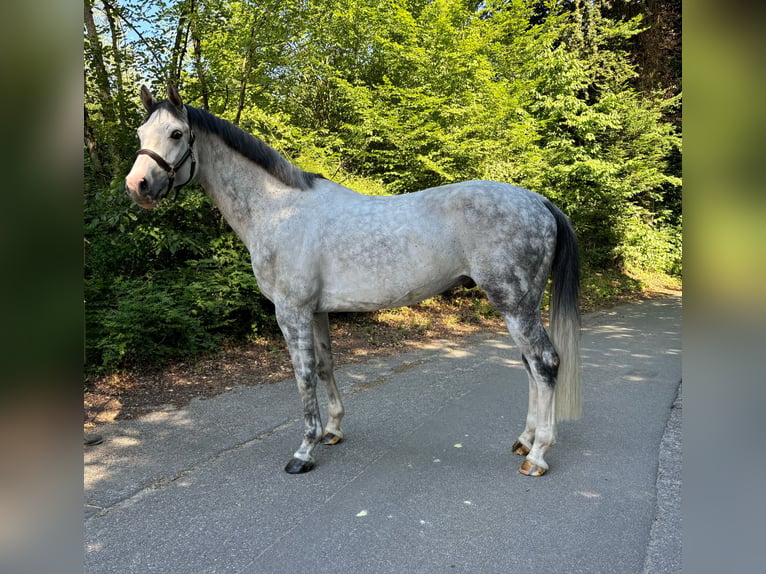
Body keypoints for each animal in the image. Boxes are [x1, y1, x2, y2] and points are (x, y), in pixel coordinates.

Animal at [125, 84, 581, 477]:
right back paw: (524, 441)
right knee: (529, 366)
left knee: (544, 363)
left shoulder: (291, 311)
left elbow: (303, 374)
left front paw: (304, 450)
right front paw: (332, 431)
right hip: (519, 305)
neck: (278, 210)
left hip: (514, 304)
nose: (137, 185)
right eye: (141, 132)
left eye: (176, 133)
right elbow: (325, 366)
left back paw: (537, 456)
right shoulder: (316, 311)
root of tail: (539, 201)